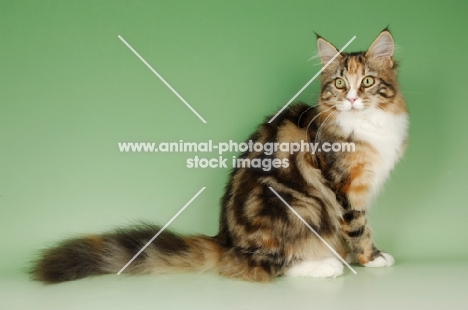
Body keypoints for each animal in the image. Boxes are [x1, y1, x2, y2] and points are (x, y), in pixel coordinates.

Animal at [31, 29, 408, 284]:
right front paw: (371, 258)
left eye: (368, 82)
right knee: (271, 264)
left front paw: (361, 257)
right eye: (340, 84)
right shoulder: (343, 189)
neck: (366, 124)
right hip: (296, 205)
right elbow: (358, 227)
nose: (352, 100)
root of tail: (225, 240)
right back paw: (325, 265)